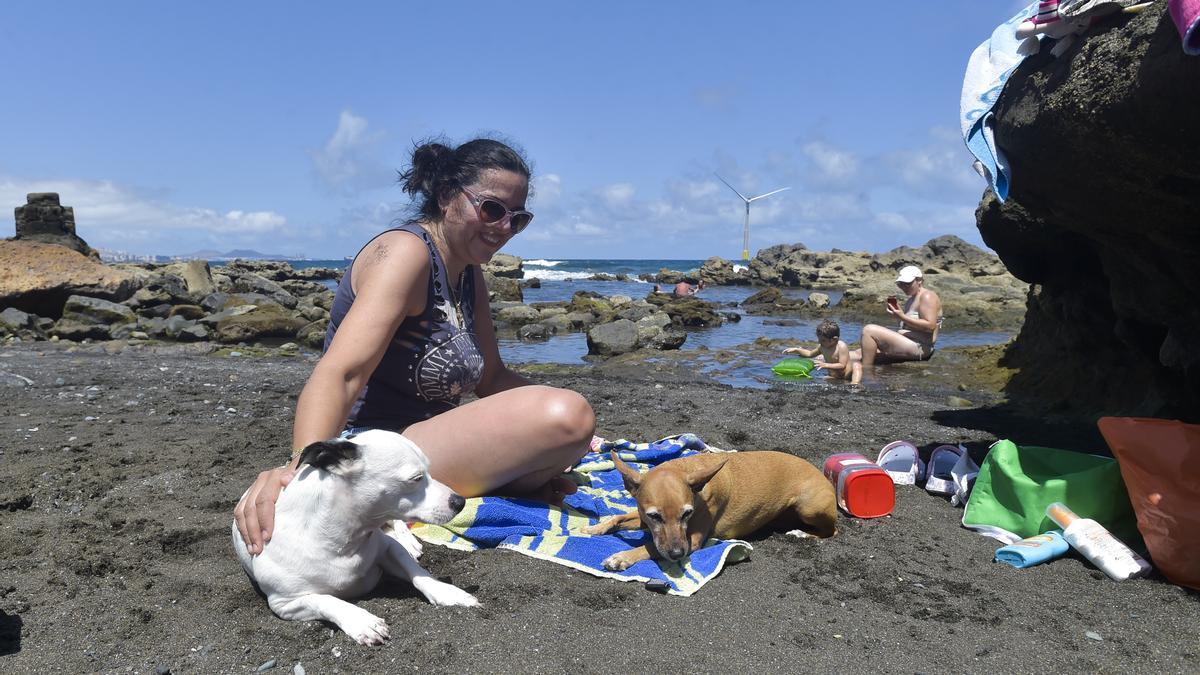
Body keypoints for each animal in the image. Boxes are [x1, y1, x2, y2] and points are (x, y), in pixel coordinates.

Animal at [229, 427, 477, 643]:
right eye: (416, 478)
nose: (460, 502)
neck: (342, 539)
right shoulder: (285, 603)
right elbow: (326, 600)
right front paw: (361, 620)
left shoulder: (388, 549)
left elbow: (417, 571)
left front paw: (445, 591)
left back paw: (408, 541)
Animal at [580, 446, 835, 566]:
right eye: (654, 516)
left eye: (687, 513)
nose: (677, 554)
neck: (686, 467)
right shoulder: (643, 518)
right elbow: (619, 518)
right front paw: (595, 528)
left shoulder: (691, 541)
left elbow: (651, 547)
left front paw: (622, 557)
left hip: (809, 506)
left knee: (831, 531)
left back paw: (803, 533)